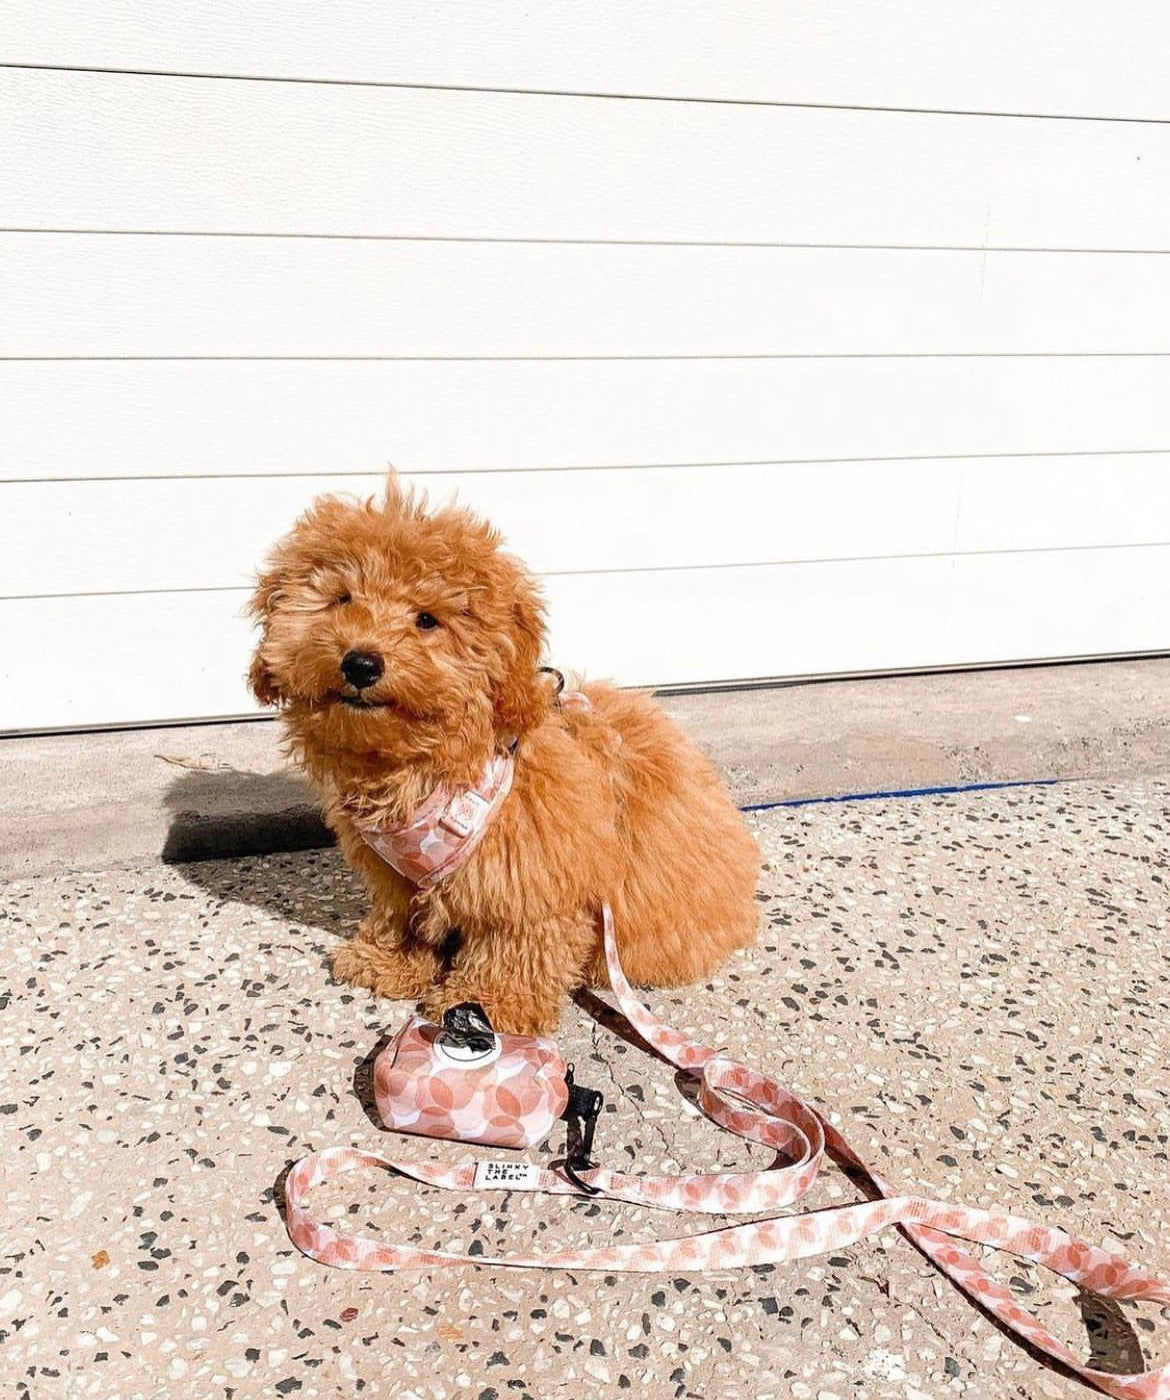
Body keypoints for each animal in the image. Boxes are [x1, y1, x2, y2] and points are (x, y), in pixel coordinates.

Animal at [247, 481, 761, 1041]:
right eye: (342, 599)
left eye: (426, 619)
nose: (361, 662)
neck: (430, 767)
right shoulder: (397, 877)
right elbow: (404, 919)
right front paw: (389, 963)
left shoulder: (530, 877)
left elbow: (513, 946)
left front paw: (484, 1003)